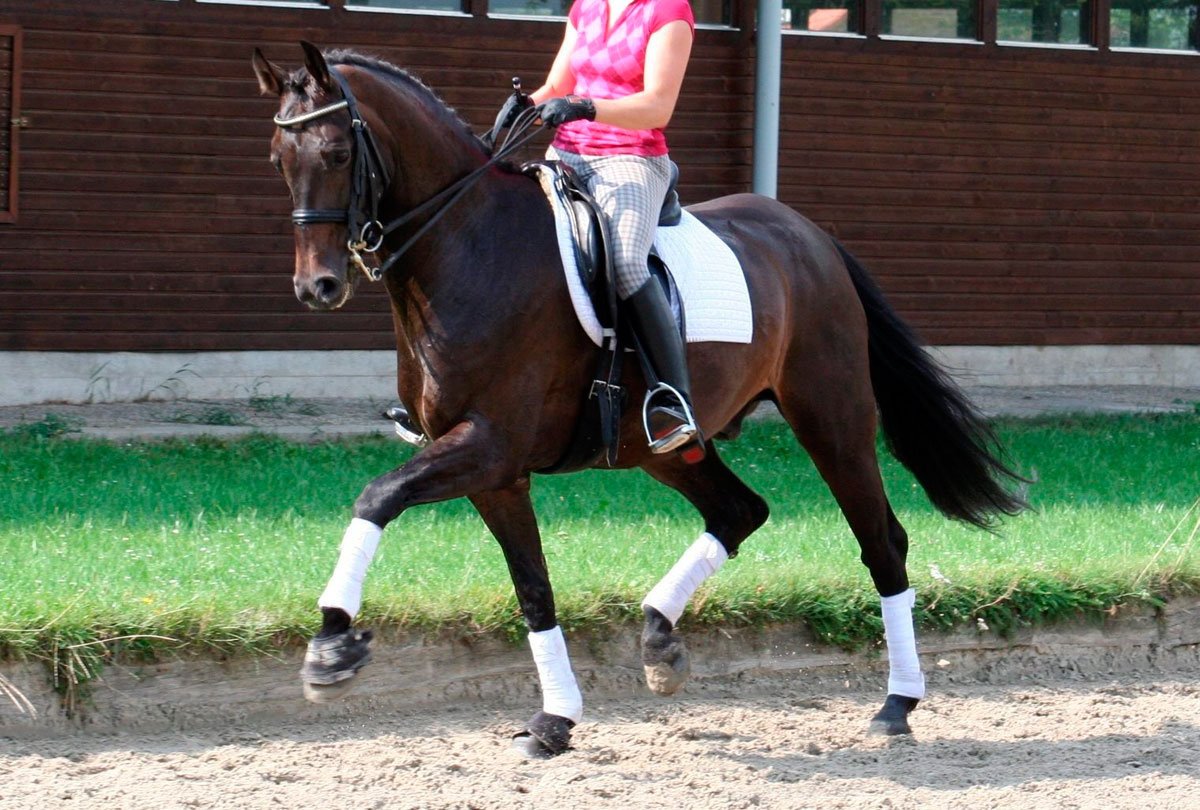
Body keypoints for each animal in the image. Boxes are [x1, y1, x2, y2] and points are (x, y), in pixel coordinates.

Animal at [251, 42, 1023, 759]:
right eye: (278, 158)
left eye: (338, 151)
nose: (318, 287)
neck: (467, 246)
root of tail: (810, 236)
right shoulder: (495, 472)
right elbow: (533, 590)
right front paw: (555, 721)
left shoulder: (489, 445)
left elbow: (377, 496)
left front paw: (332, 642)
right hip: (664, 447)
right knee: (740, 511)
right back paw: (659, 637)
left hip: (830, 419)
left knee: (881, 542)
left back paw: (897, 704)